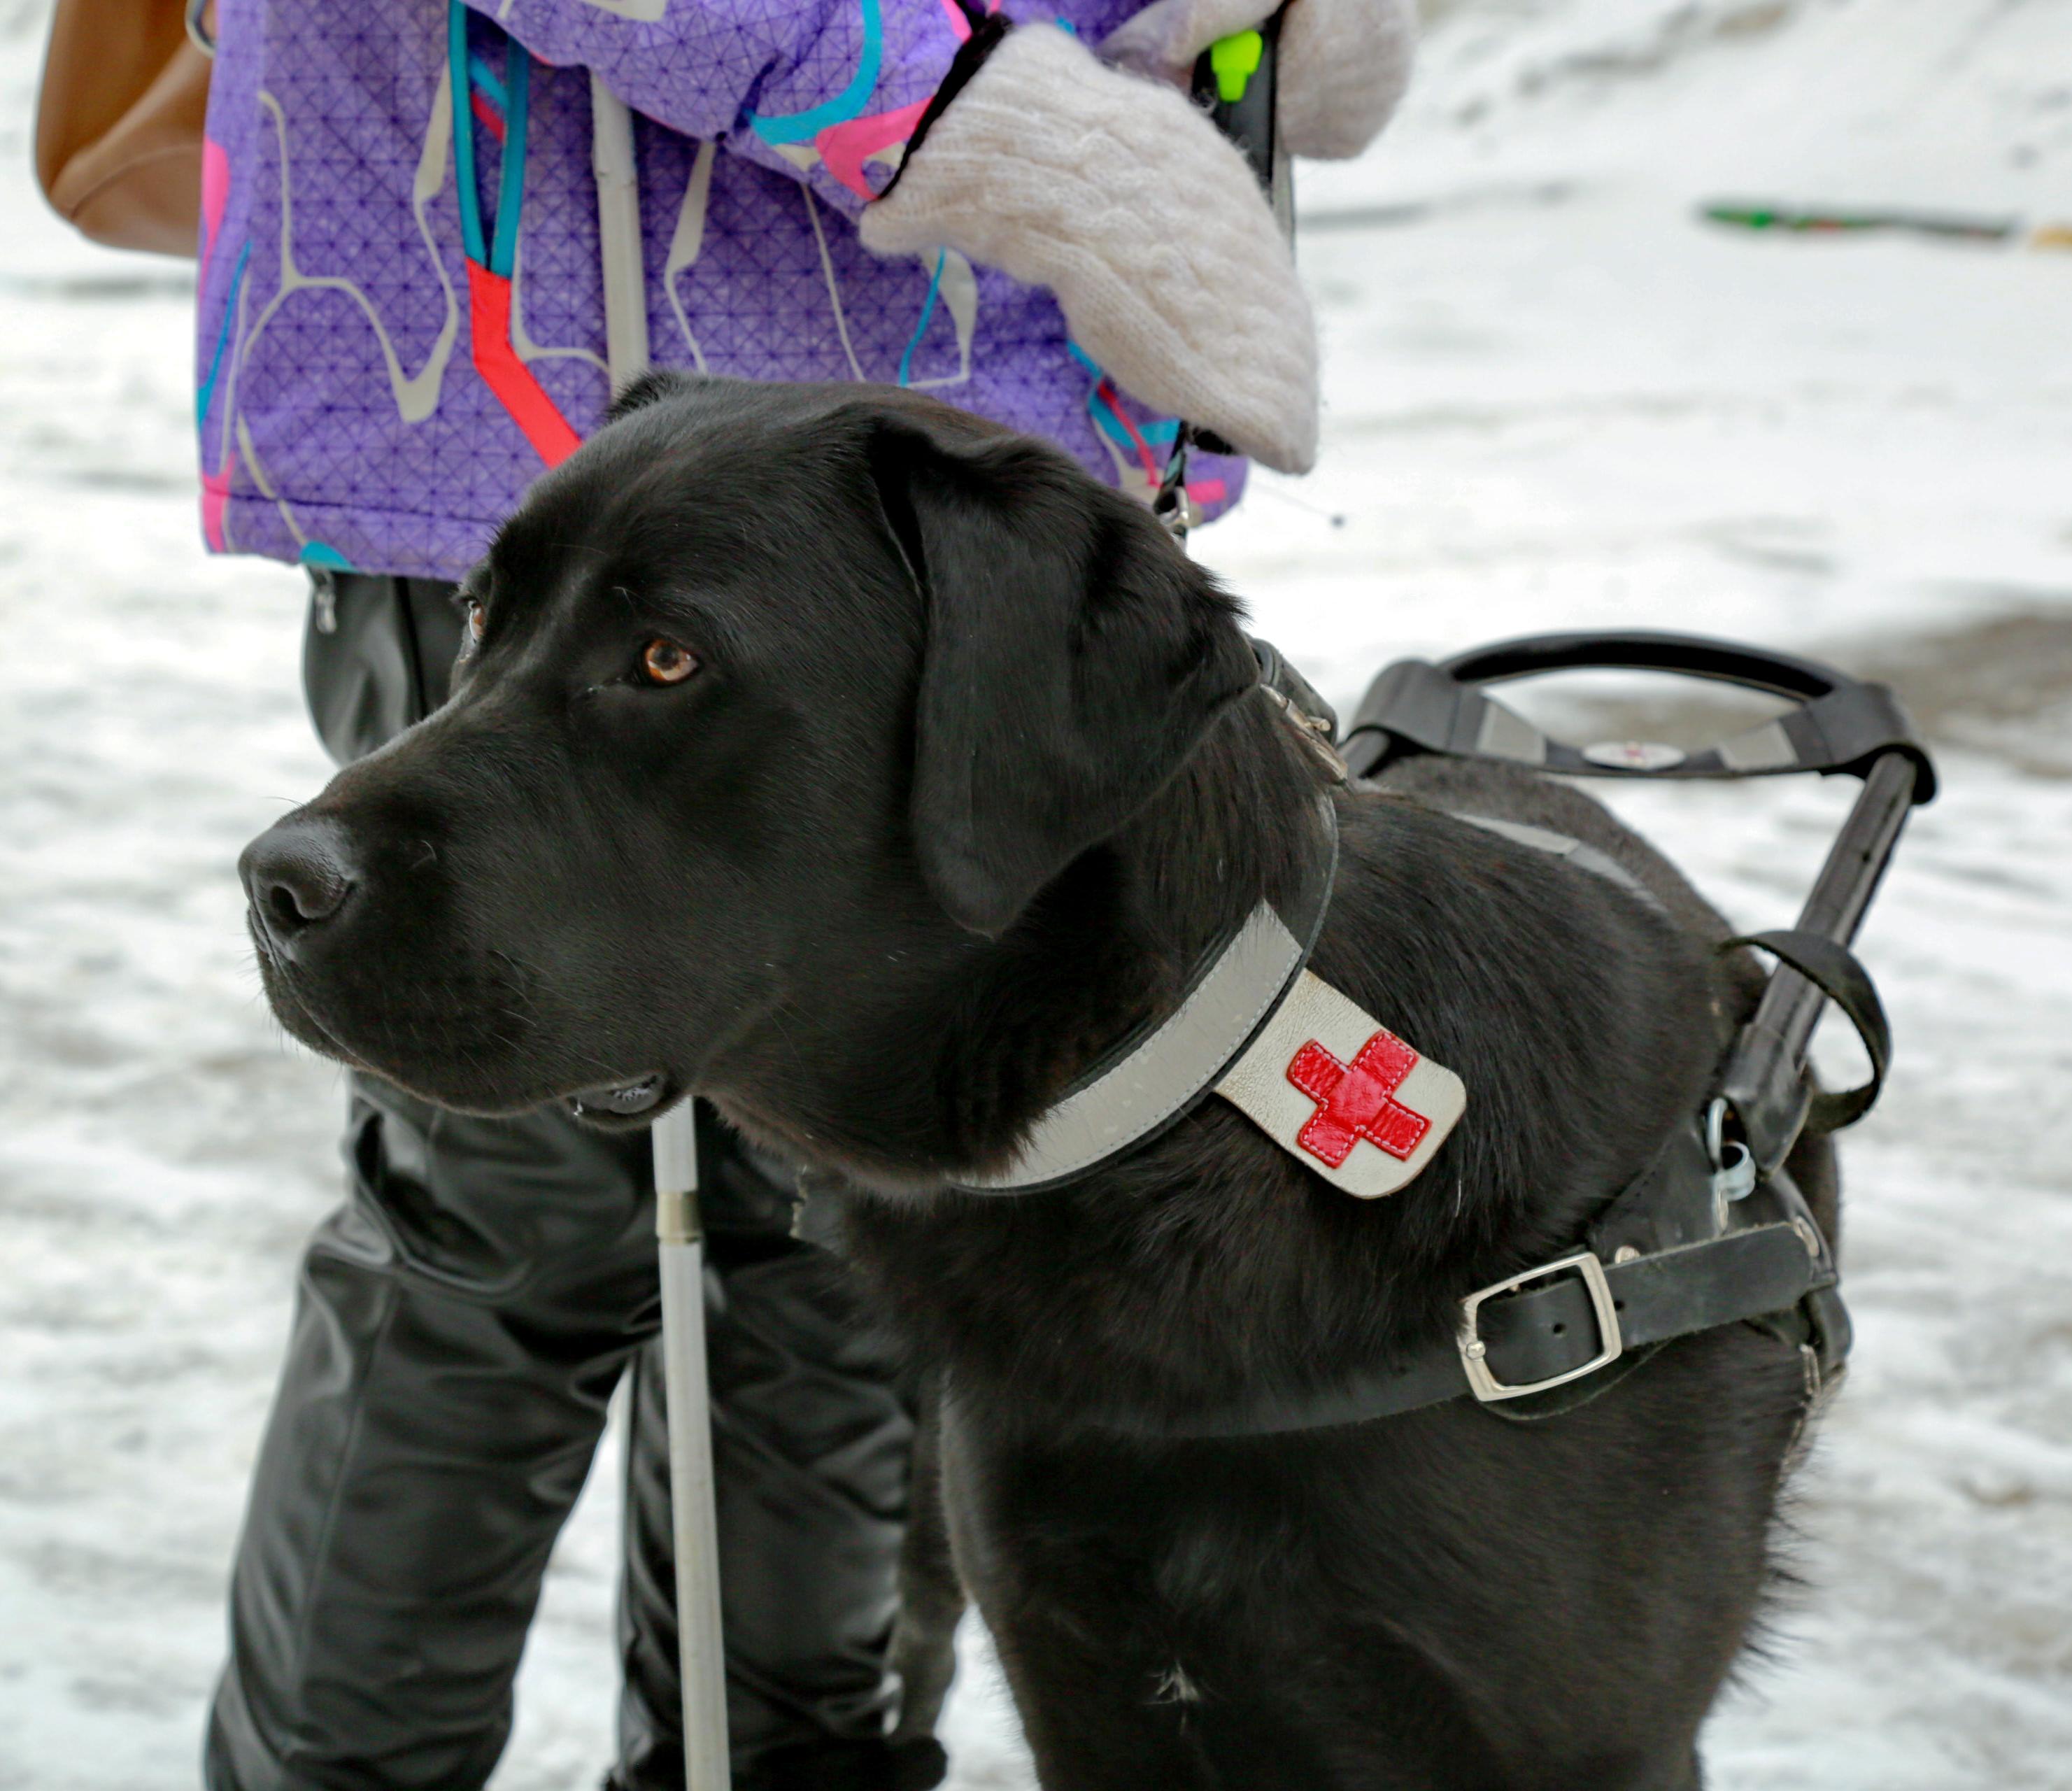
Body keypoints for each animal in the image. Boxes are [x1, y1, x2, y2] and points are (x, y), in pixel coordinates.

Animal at [238, 377, 1831, 1791]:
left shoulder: (1578, 1743)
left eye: (667, 659)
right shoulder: (1084, 1682)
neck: (1194, 1117)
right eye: (476, 615)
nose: (275, 884)